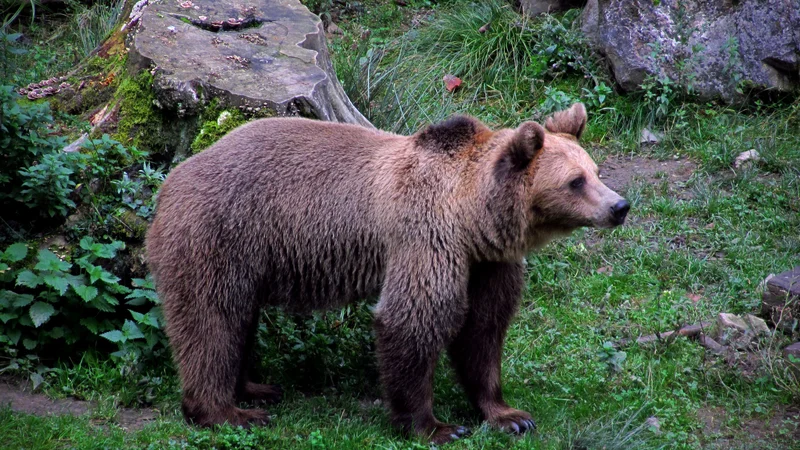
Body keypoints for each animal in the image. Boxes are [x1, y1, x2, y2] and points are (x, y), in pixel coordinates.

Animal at [145, 102, 632, 442]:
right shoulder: (425, 237)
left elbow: (484, 330)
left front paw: (509, 415)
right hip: (218, 234)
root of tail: (169, 181)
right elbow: (413, 319)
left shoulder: (486, 264)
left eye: (596, 170)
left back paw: (256, 387)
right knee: (211, 320)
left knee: (239, 319)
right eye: (575, 181)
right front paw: (434, 425)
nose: (620, 206)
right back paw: (228, 411)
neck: (472, 216)